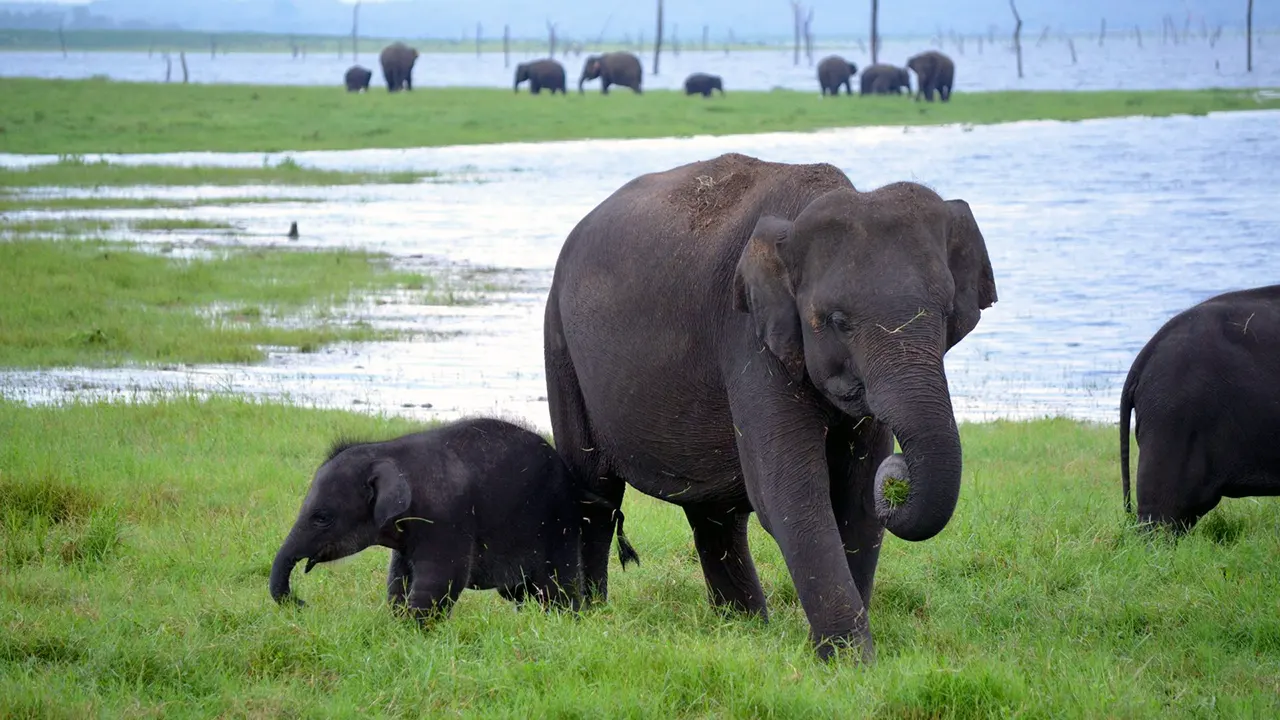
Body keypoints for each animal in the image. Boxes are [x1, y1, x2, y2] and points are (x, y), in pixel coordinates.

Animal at [269, 418, 639, 621]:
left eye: (321, 517)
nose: (302, 603)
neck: (387, 450)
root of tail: (575, 484)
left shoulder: (444, 518)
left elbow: (442, 578)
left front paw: (412, 631)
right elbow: (399, 576)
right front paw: (399, 621)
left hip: (557, 523)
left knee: (557, 585)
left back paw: (566, 621)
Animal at [544, 152, 997, 661]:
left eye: (946, 313)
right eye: (837, 321)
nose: (899, 475)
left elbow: (859, 497)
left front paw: (841, 654)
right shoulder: (748, 338)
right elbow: (789, 492)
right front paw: (849, 662)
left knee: (713, 514)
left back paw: (744, 628)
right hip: (559, 345)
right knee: (595, 491)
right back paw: (587, 616)